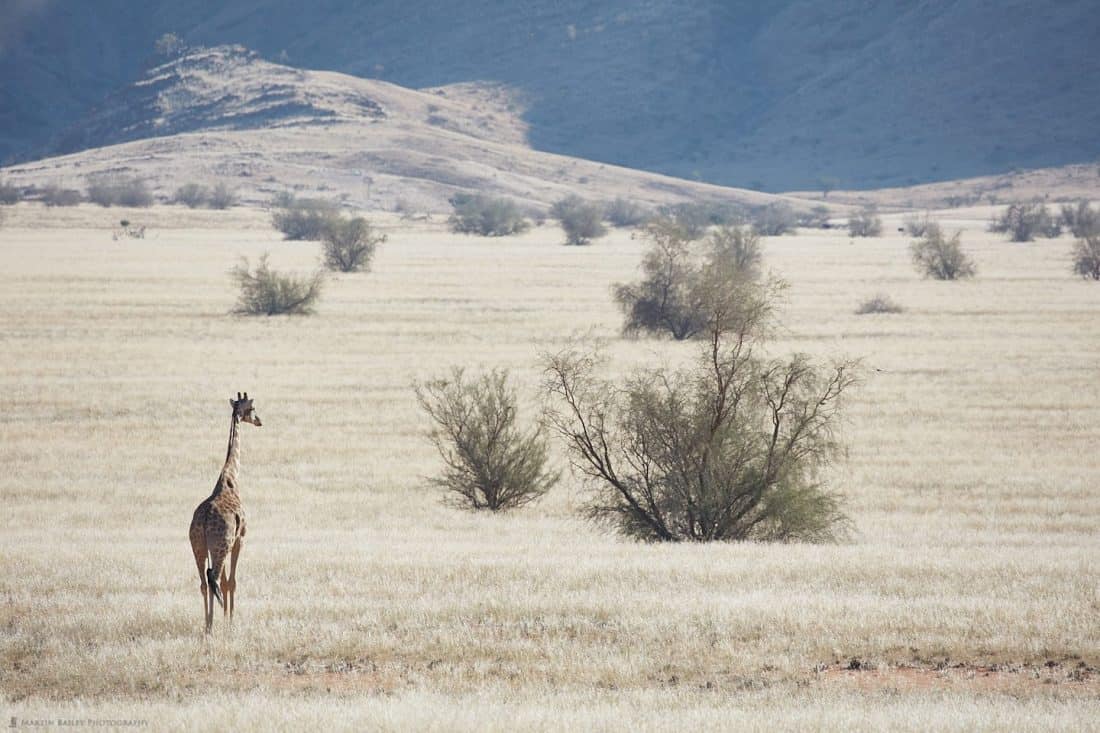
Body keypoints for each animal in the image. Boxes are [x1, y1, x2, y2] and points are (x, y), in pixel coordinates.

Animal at [188, 391, 260, 629]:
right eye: (252, 409)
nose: (259, 421)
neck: (230, 478)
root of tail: (204, 521)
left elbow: (226, 581)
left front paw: (225, 618)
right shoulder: (240, 538)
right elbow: (232, 581)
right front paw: (230, 622)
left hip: (199, 546)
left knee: (204, 582)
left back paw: (207, 625)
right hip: (220, 545)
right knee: (215, 578)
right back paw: (211, 625)